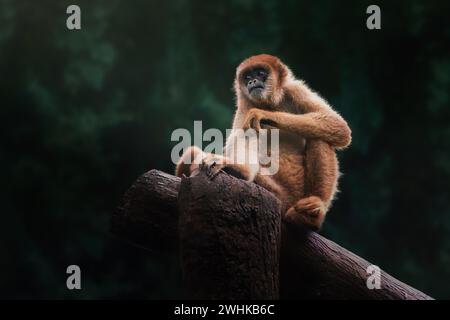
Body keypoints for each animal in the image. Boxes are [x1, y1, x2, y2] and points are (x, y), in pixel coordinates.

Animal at [176, 54, 352, 230]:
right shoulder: (246, 104)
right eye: (247, 77)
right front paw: (238, 168)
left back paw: (313, 214)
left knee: (319, 138)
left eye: (260, 73)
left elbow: (339, 127)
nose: (252, 81)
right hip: (279, 194)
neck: (269, 103)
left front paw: (262, 115)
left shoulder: (294, 89)